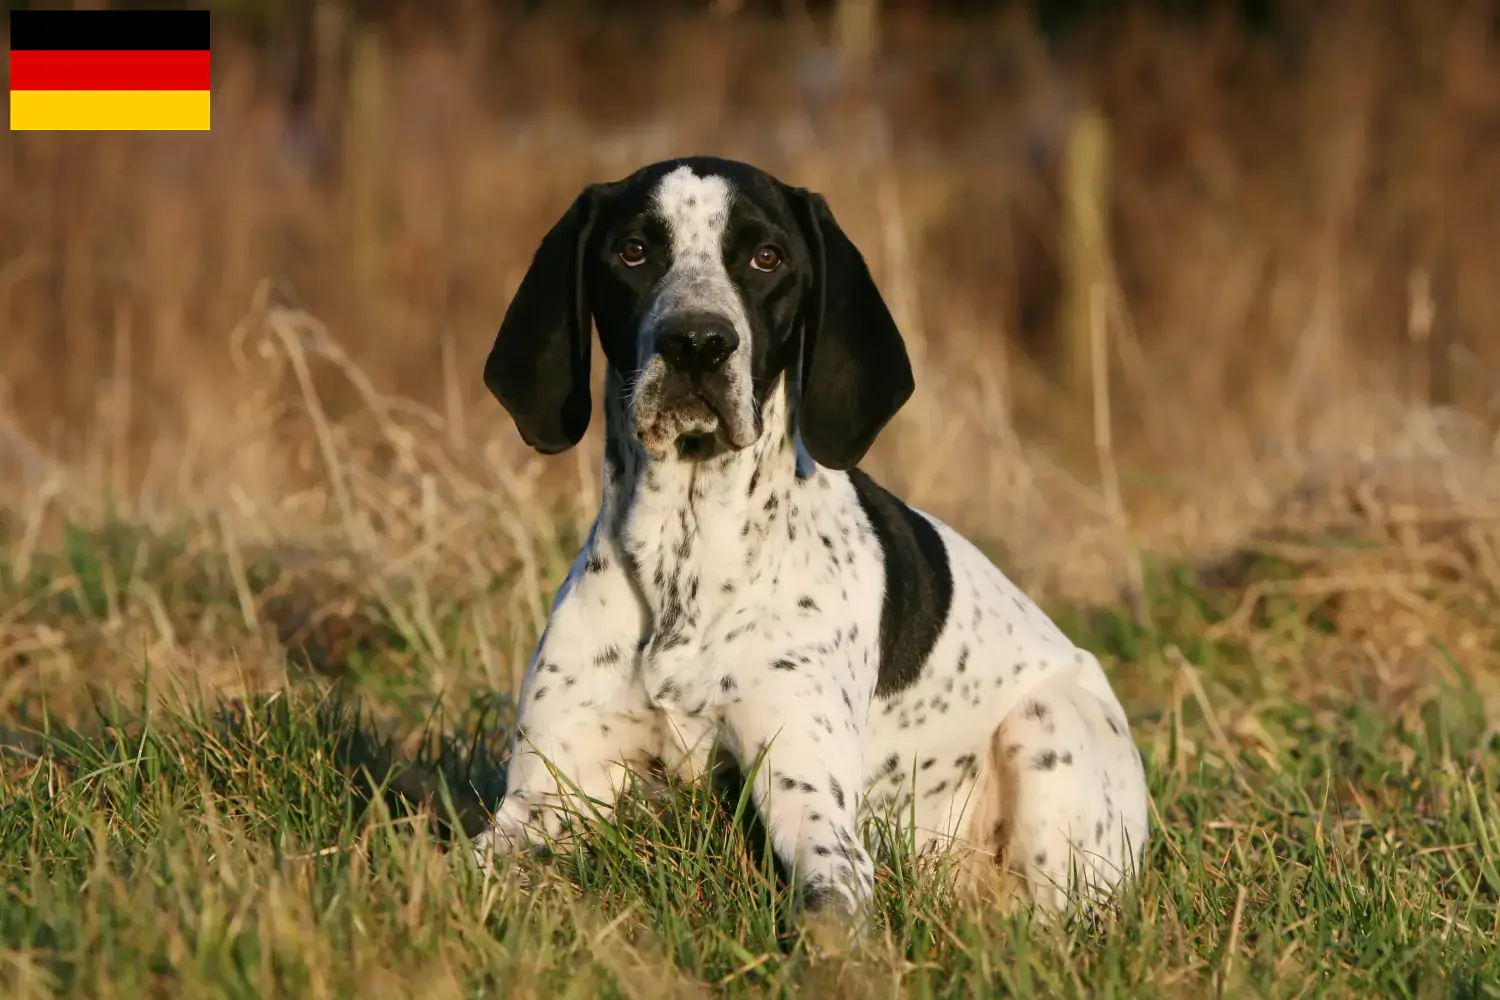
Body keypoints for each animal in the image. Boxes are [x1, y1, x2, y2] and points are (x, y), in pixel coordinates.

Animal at [468, 154, 1146, 923]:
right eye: (633, 251)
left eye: (768, 257)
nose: (697, 342)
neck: (686, 561)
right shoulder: (538, 798)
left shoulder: (810, 807)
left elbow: (826, 912)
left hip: (1047, 729)